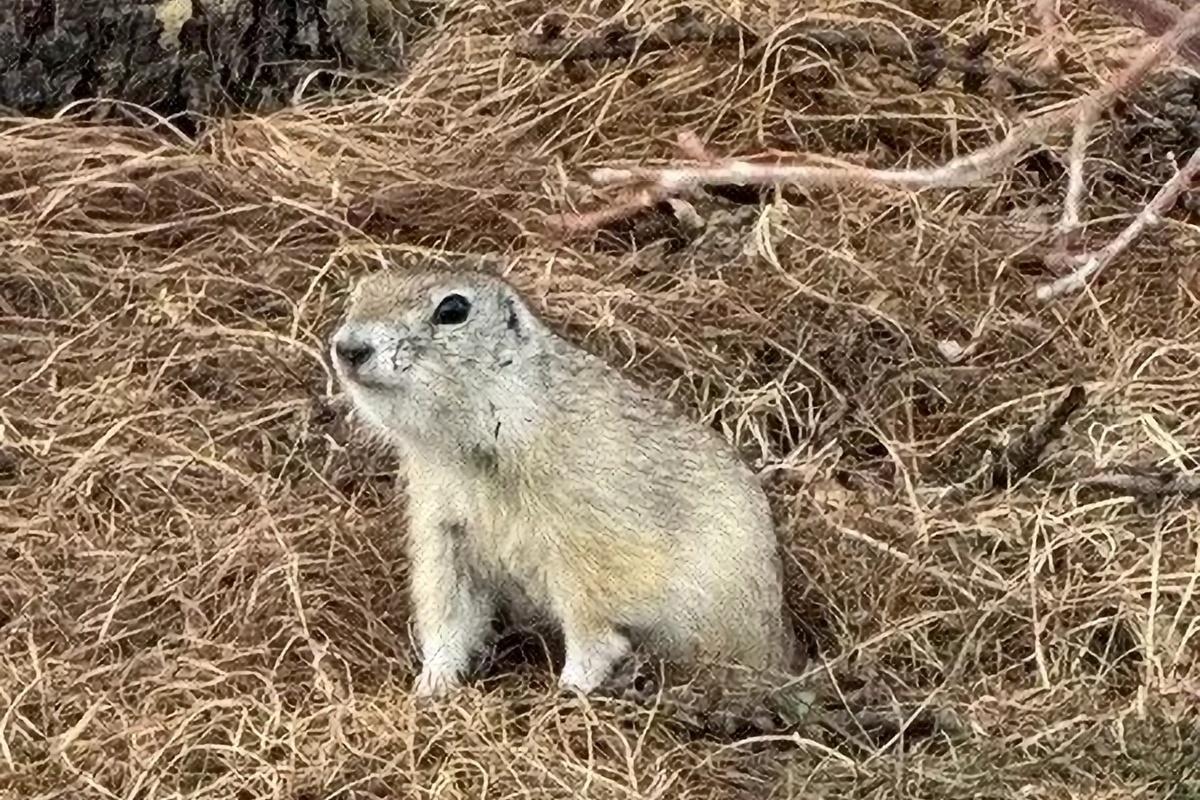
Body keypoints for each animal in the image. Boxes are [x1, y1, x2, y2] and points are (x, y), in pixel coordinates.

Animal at [331, 266, 796, 695]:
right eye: (359, 292)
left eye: (453, 310)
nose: (348, 348)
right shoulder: (442, 528)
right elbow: (448, 611)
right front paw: (431, 685)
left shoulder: (584, 539)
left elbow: (592, 625)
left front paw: (570, 687)